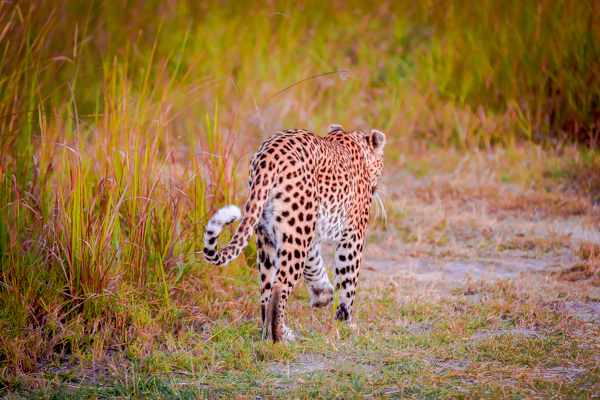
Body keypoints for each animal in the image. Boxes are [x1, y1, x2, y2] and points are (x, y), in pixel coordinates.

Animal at [204, 124, 386, 340]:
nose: (377, 186)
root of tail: (269, 155)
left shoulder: (311, 236)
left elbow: (315, 267)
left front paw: (323, 296)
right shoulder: (353, 234)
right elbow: (348, 278)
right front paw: (345, 321)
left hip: (270, 235)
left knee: (266, 292)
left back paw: (272, 333)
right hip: (296, 236)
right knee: (279, 288)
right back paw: (279, 338)